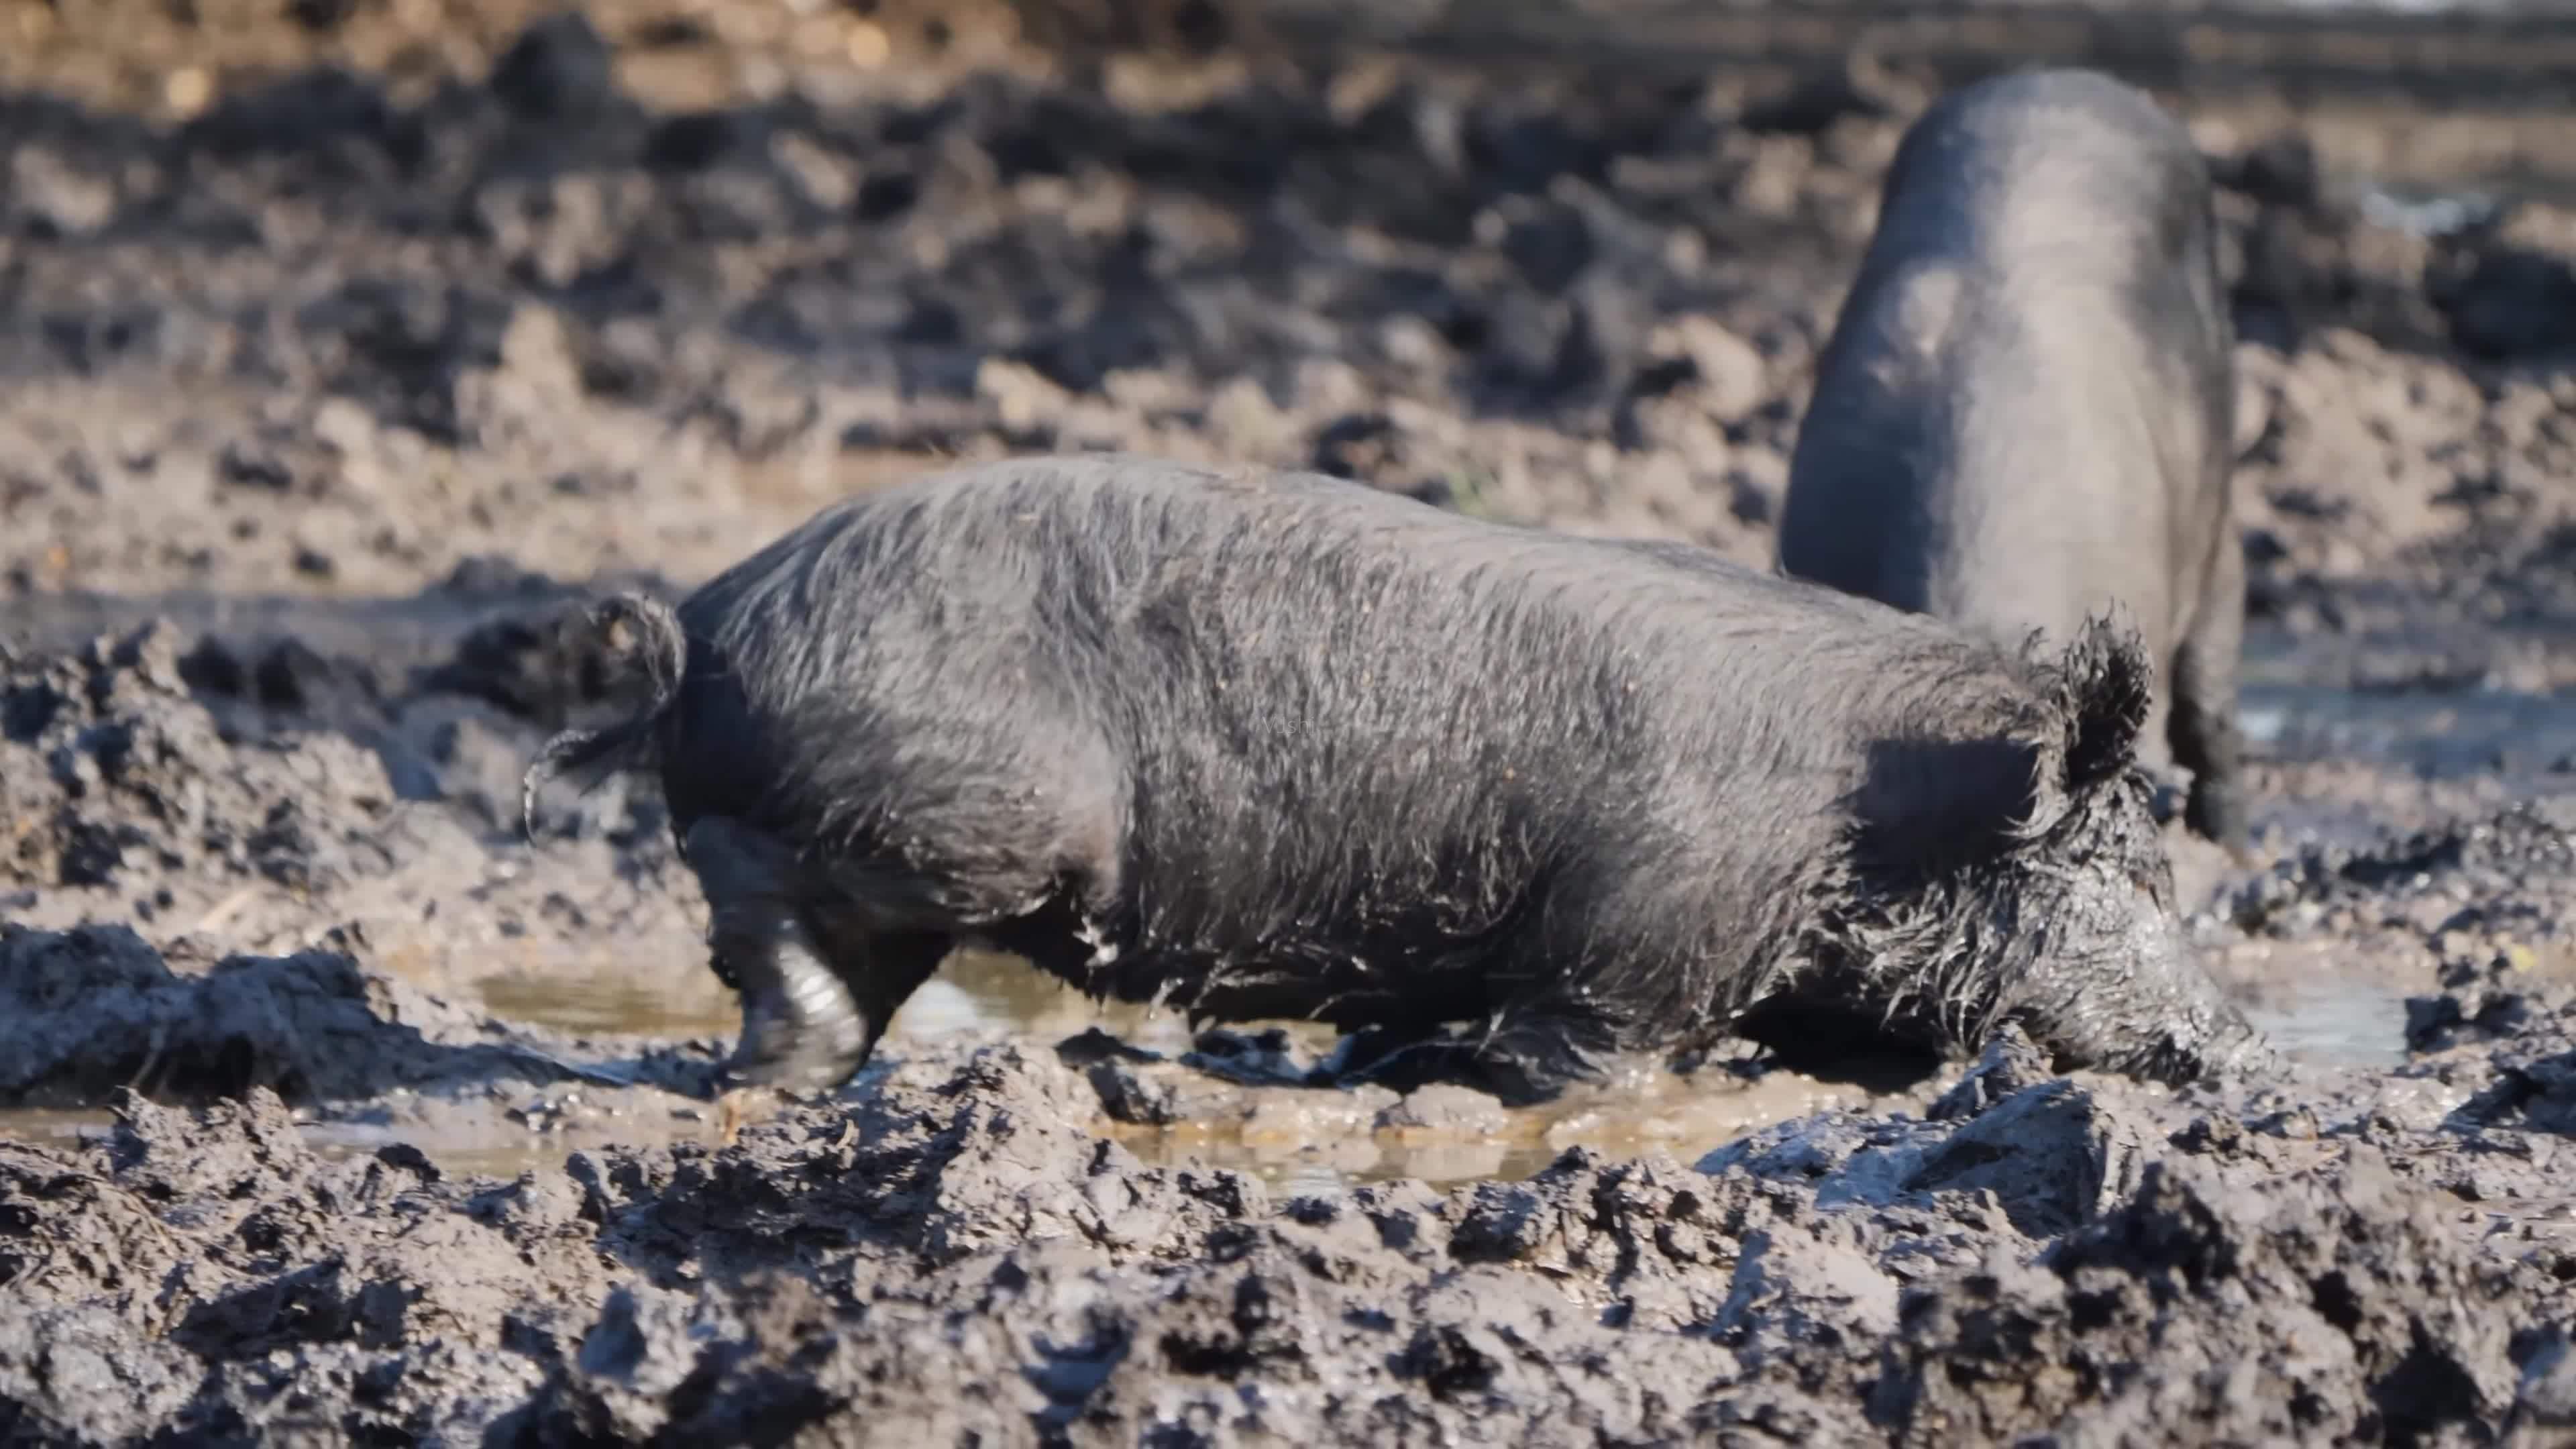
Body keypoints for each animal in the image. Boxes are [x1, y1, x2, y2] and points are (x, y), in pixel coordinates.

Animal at [528, 456, 2277, 1098]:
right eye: (2121, 868)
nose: (2227, 1044)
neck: (1868, 825)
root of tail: (710, 613)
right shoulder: (1633, 946)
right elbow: (1572, 1059)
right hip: (977, 821)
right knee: (760, 884)